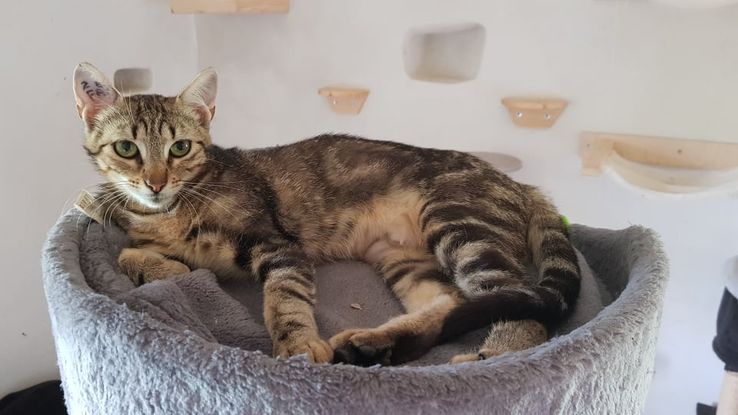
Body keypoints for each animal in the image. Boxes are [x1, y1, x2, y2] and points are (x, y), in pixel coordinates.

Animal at [72, 62, 580, 366]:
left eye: (180, 148)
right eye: (126, 149)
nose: (155, 183)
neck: (171, 211)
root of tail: (519, 185)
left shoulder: (278, 246)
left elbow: (284, 299)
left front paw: (297, 346)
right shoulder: (142, 235)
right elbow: (126, 254)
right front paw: (167, 268)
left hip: (459, 225)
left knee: (521, 303)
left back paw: (493, 357)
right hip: (405, 258)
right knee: (450, 303)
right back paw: (373, 344)